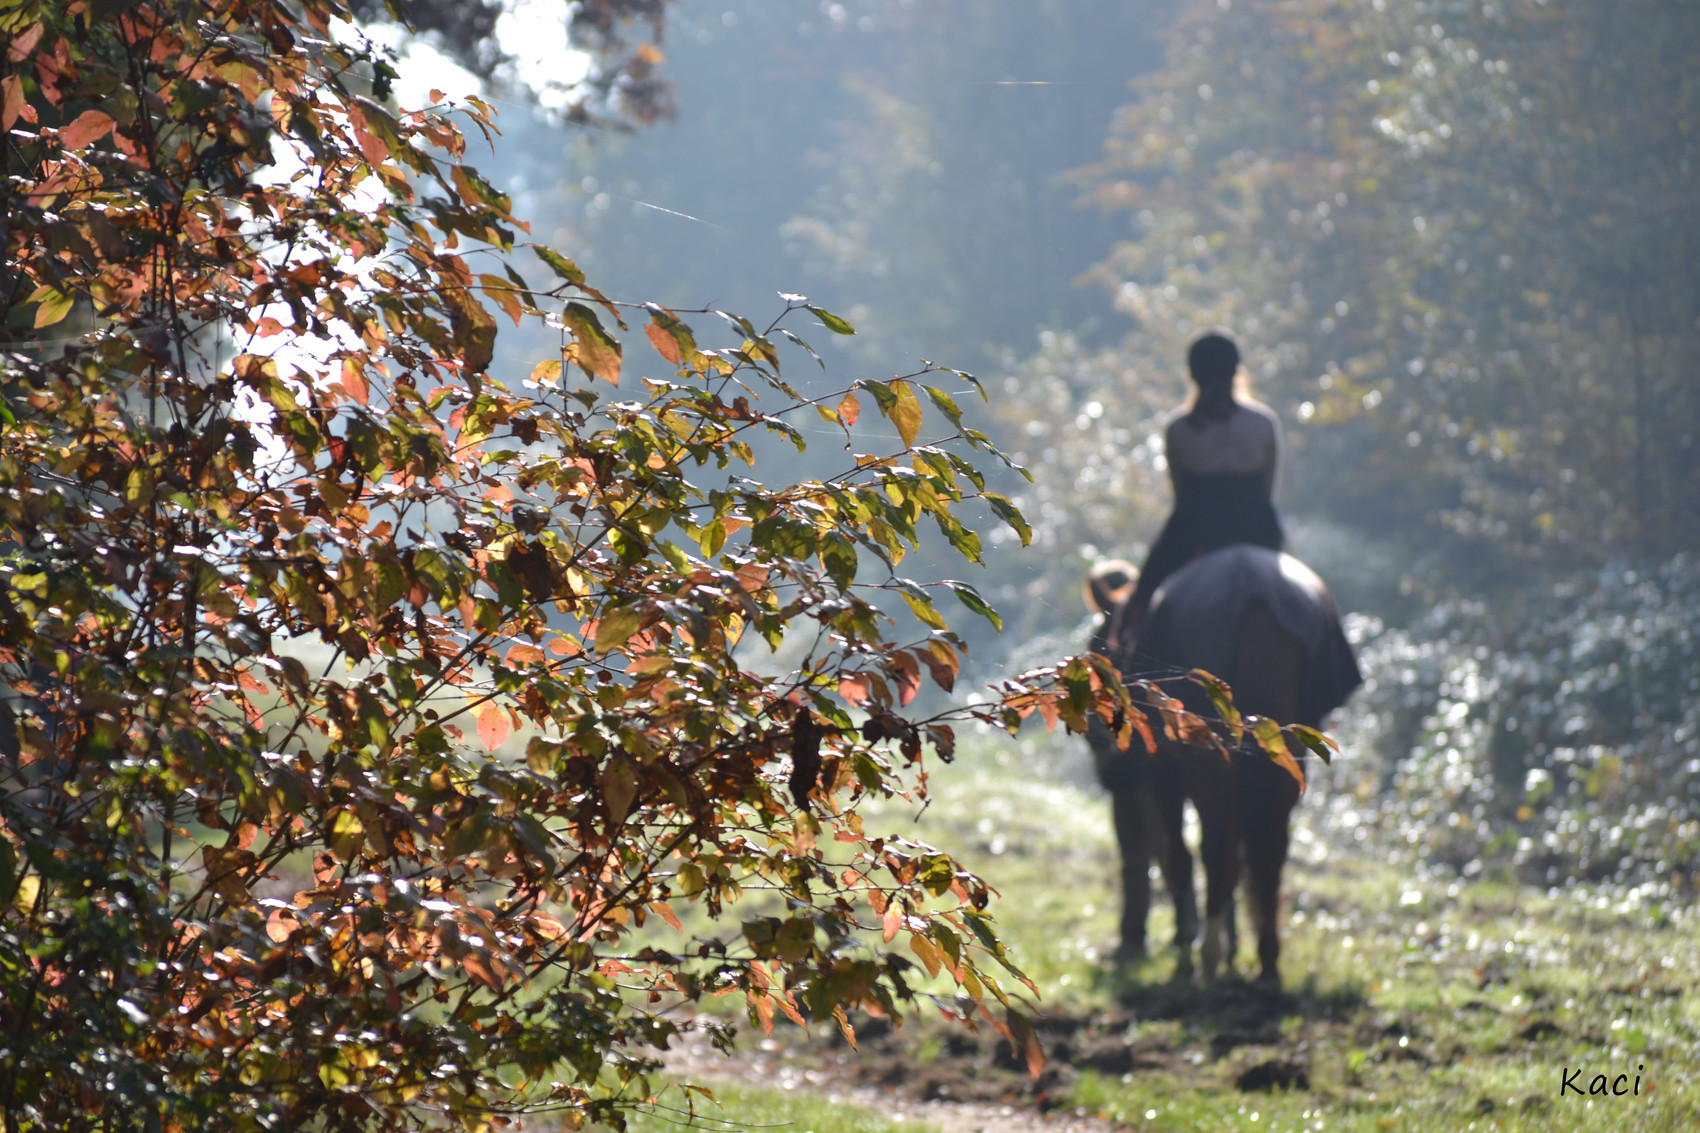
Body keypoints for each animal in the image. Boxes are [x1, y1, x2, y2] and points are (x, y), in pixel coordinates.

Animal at [1084, 546, 1360, 984]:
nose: (1110, 773)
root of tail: (1249, 586)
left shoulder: (1161, 771)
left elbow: (1173, 852)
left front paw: (1186, 944)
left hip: (1206, 757)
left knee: (1213, 844)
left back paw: (1207, 954)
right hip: (1286, 754)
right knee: (1267, 848)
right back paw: (1265, 959)